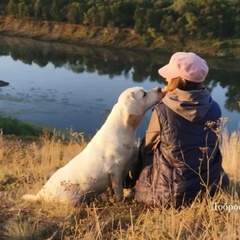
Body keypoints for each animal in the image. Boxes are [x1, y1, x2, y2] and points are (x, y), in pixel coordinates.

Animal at [23, 86, 163, 202]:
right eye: (144, 94)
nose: (159, 88)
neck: (123, 131)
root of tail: (40, 194)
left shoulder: (130, 164)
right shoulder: (115, 171)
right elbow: (118, 192)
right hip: (72, 198)